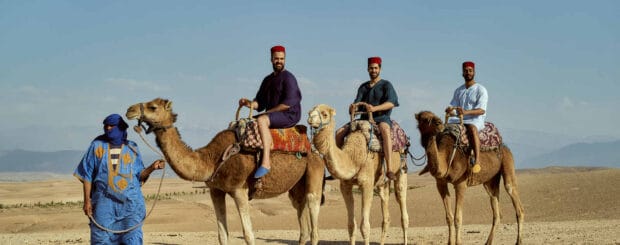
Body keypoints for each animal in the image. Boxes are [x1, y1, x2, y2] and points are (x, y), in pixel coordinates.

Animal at [127, 98, 330, 245]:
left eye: (153, 107)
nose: (130, 110)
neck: (212, 159)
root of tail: (314, 149)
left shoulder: (239, 189)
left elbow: (248, 235)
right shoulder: (215, 190)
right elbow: (222, 235)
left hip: (315, 171)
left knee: (313, 222)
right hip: (296, 187)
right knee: (302, 224)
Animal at [308, 104, 410, 245]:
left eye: (324, 114)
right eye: (310, 111)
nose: (310, 118)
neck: (354, 157)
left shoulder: (367, 184)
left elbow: (365, 227)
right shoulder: (345, 186)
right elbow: (351, 225)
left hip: (401, 169)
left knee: (402, 204)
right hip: (382, 183)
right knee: (386, 211)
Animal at [414, 111, 524, 245]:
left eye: (434, 116)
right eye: (424, 118)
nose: (439, 123)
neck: (446, 157)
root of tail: (504, 146)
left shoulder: (460, 183)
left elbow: (457, 218)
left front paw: (458, 242)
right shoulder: (440, 183)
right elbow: (449, 217)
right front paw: (450, 242)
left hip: (507, 162)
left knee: (515, 200)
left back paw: (518, 241)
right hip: (490, 181)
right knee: (496, 209)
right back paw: (488, 242)